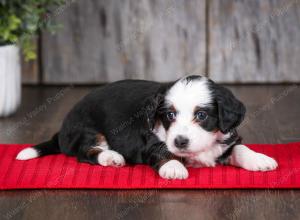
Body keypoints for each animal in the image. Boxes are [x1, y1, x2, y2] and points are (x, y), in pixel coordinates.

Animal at [17, 75, 278, 179]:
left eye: (202, 115)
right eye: (170, 115)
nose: (180, 141)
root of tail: (62, 130)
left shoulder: (226, 137)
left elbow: (239, 148)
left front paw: (259, 159)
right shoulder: (151, 141)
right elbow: (163, 151)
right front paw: (173, 167)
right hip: (86, 128)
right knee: (86, 151)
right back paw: (111, 157)